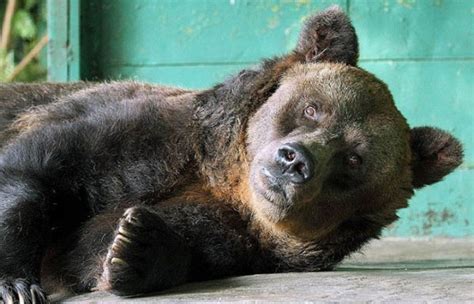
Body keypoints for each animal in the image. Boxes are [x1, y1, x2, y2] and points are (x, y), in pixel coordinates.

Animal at [0, 5, 462, 304]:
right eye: (313, 108)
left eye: (353, 159)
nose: (295, 160)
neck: (226, 178)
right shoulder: (141, 134)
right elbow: (37, 171)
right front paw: (16, 284)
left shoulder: (228, 230)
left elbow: (97, 250)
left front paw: (137, 244)